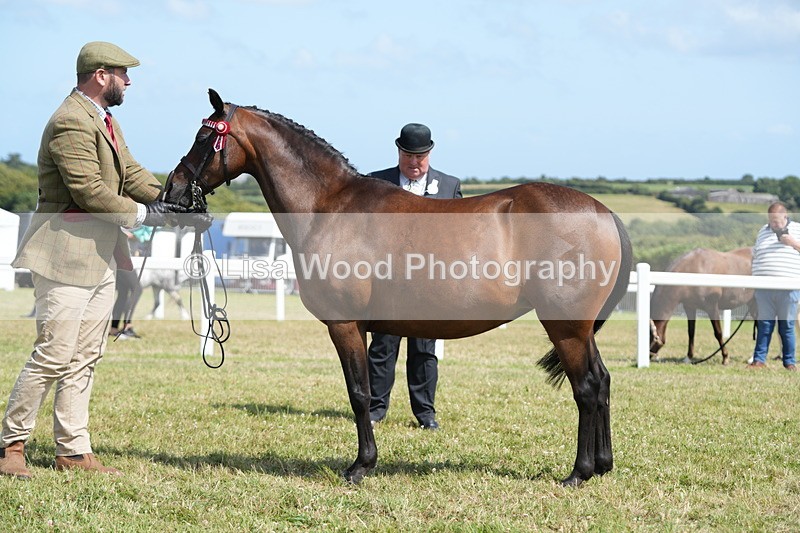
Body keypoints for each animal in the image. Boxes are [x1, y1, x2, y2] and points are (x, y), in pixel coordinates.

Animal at [163, 89, 633, 487]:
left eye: (205, 137)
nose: (174, 189)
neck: (329, 207)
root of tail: (602, 212)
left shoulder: (345, 324)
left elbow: (359, 393)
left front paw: (360, 466)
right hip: (580, 329)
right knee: (602, 382)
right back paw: (603, 465)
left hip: (566, 326)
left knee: (586, 388)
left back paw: (578, 473)